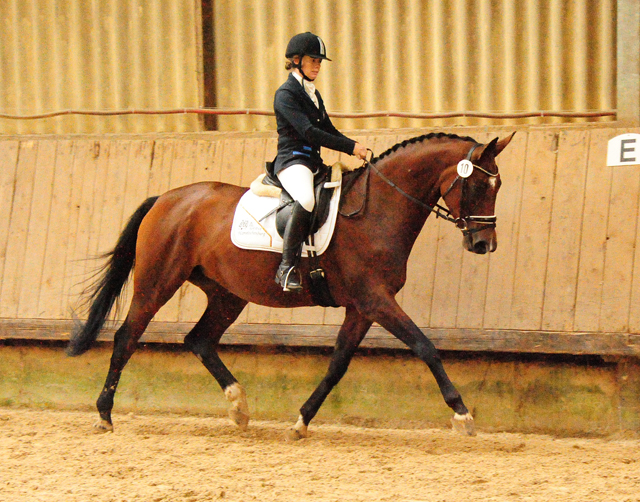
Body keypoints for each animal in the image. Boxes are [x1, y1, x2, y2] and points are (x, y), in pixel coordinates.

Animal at [66, 132, 516, 440]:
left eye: (497, 186)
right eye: (478, 185)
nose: (484, 244)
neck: (375, 212)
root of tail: (166, 198)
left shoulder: (361, 307)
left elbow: (338, 364)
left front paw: (301, 421)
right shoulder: (376, 299)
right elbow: (425, 346)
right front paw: (462, 414)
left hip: (227, 294)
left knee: (199, 340)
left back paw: (239, 408)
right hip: (157, 282)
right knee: (127, 337)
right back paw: (104, 414)